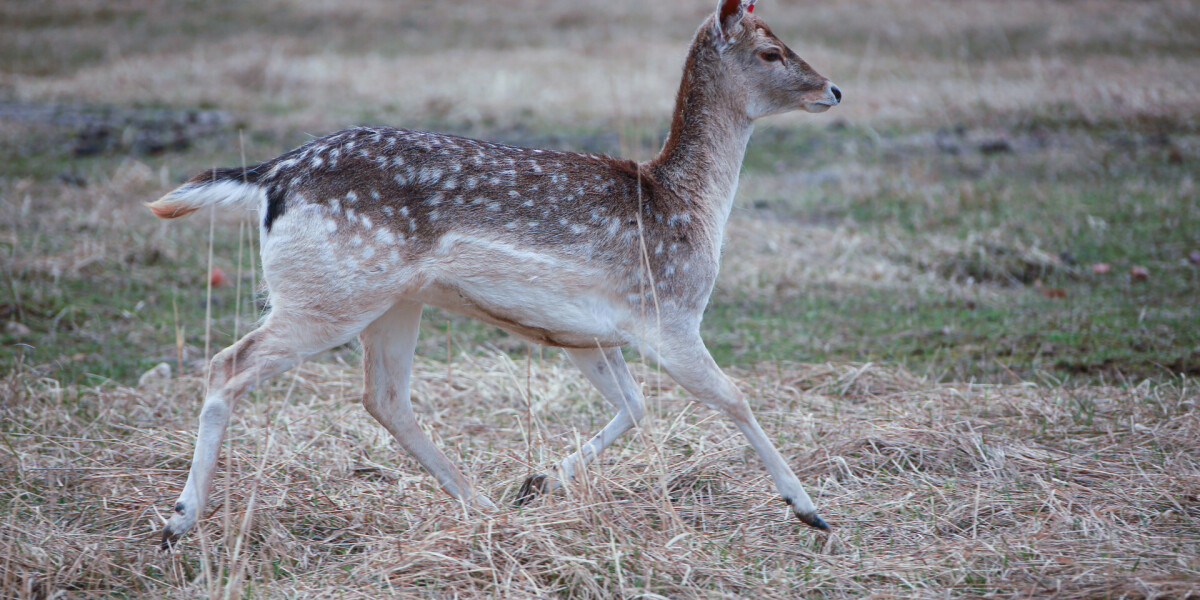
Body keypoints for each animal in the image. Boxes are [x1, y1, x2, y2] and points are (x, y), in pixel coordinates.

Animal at [152, 0, 844, 549]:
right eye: (772, 51)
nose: (833, 90)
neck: (689, 210)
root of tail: (272, 177)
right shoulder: (670, 315)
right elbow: (733, 396)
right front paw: (809, 510)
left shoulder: (586, 334)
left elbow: (635, 405)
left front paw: (538, 482)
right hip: (329, 295)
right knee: (229, 364)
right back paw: (177, 521)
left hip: (393, 303)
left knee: (384, 396)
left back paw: (484, 506)